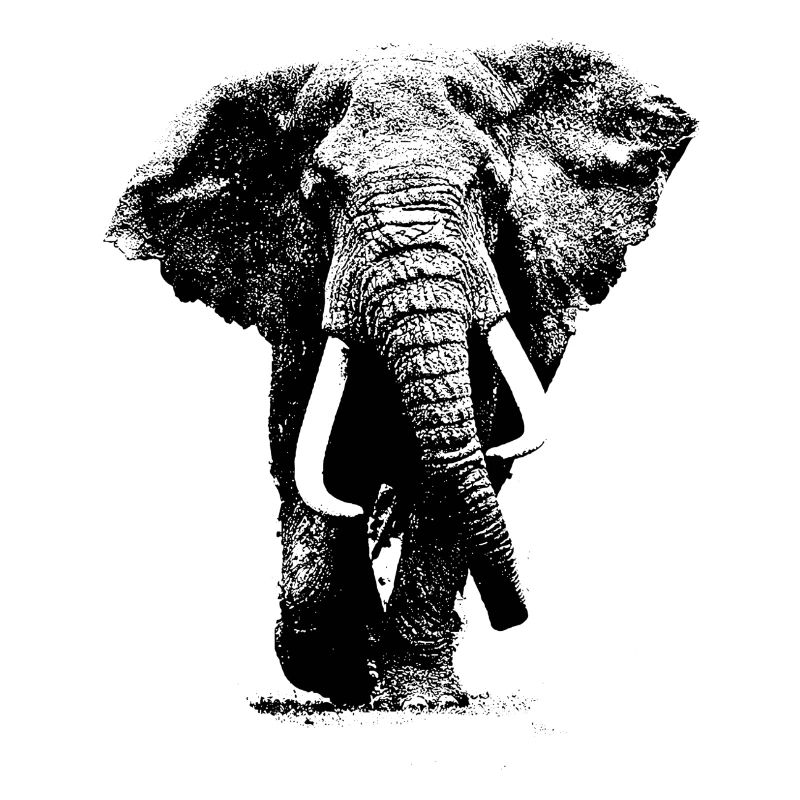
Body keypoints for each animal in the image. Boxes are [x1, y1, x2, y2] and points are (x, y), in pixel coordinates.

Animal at [106, 42, 695, 710]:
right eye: (320, 196)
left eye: (490, 188)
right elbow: (314, 450)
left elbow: (454, 462)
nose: (513, 616)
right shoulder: (301, 295)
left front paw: (417, 695)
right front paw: (348, 671)